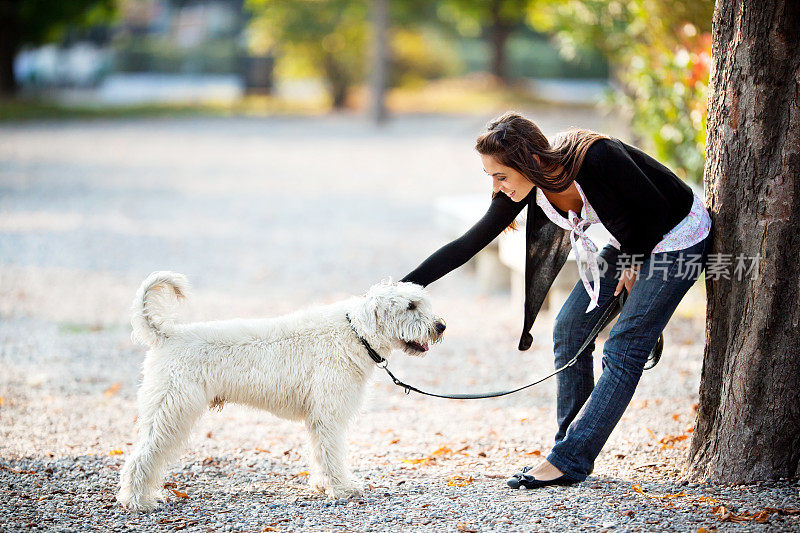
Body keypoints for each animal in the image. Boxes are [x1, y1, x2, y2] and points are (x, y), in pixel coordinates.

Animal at [118, 272, 444, 512]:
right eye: (411, 306)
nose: (440, 326)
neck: (355, 334)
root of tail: (166, 334)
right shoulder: (329, 416)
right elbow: (332, 454)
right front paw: (342, 488)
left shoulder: (317, 419)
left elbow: (320, 453)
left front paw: (323, 485)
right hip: (170, 413)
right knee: (140, 458)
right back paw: (137, 501)